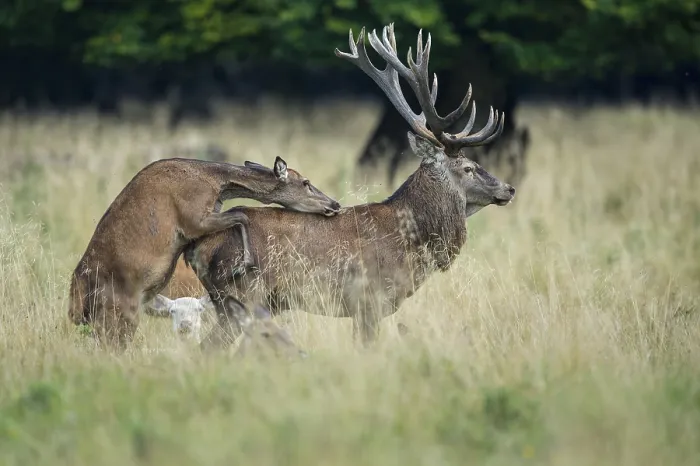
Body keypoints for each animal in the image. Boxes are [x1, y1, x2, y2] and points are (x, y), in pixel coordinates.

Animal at [69, 155, 341, 350]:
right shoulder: (194, 218)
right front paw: (244, 261)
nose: (334, 204)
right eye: (306, 183)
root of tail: (75, 299)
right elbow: (240, 215)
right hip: (119, 306)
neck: (216, 184)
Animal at [183, 23, 517, 351]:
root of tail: (197, 247)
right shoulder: (369, 299)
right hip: (241, 293)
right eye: (468, 168)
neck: (408, 242)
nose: (509, 188)